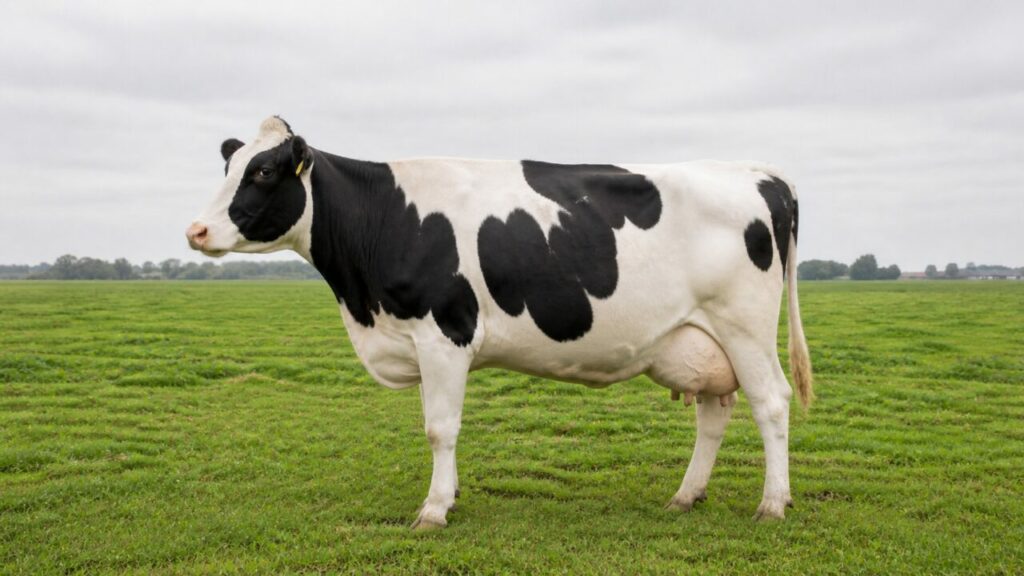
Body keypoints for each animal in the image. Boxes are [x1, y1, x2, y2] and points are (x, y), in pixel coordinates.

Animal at [186, 116, 813, 529]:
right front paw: (450, 495)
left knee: (772, 403)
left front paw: (434, 509)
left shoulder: (444, 333)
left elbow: (440, 428)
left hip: (744, 327)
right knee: (715, 412)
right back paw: (686, 496)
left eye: (265, 172)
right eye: (229, 166)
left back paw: (772, 503)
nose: (196, 230)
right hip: (703, 338)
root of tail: (759, 174)